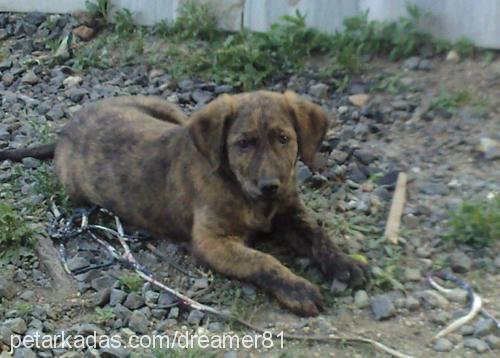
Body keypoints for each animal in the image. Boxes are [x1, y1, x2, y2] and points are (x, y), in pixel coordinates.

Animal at [0, 90, 368, 316]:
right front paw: (297, 288)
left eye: (283, 138)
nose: (270, 187)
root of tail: (64, 134)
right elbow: (263, 260)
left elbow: (318, 235)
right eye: (243, 144)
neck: (240, 190)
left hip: (173, 113)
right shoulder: (212, 241)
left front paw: (345, 263)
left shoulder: (290, 212)